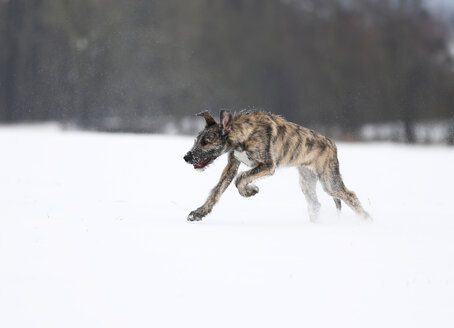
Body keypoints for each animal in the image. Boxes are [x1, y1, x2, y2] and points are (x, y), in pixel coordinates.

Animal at [183, 111, 370, 222]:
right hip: (306, 180)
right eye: (196, 140)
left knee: (351, 197)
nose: (186, 157)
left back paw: (367, 221)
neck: (244, 134)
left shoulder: (267, 165)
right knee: (315, 204)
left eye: (206, 142)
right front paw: (199, 213)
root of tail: (332, 144)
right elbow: (217, 191)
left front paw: (250, 190)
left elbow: (241, 178)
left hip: (329, 181)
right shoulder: (232, 165)